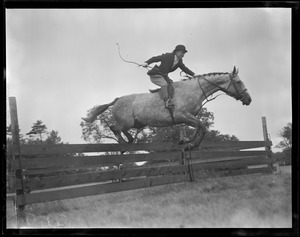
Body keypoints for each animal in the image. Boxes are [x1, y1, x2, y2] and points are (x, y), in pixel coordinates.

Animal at [82, 65, 251, 149]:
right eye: (238, 82)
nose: (249, 99)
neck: (195, 89)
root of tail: (116, 100)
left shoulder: (187, 118)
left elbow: (199, 127)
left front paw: (186, 142)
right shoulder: (182, 115)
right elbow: (201, 126)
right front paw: (190, 143)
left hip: (137, 123)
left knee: (120, 130)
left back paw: (129, 141)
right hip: (127, 122)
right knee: (114, 128)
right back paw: (124, 144)